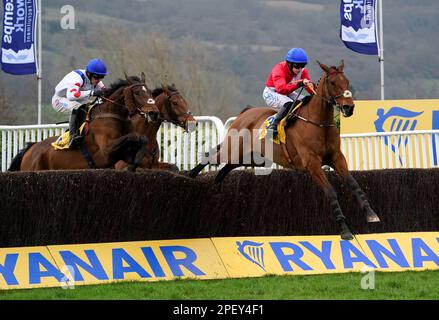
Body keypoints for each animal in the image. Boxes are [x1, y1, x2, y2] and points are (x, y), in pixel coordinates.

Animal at [8, 73, 159, 171]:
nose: (154, 112)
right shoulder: (105, 152)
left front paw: (134, 164)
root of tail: (31, 149)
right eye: (137, 92)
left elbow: (142, 138)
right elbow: (133, 136)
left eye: (150, 92)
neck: (112, 114)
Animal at [189, 60, 382, 240]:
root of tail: (244, 114)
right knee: (210, 158)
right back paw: (190, 176)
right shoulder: (312, 164)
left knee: (223, 170)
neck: (318, 123)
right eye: (333, 82)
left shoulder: (337, 157)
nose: (349, 107)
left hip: (250, 158)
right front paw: (345, 230)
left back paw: (215, 189)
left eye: (347, 81)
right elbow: (331, 192)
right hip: (233, 149)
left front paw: (372, 214)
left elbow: (354, 184)